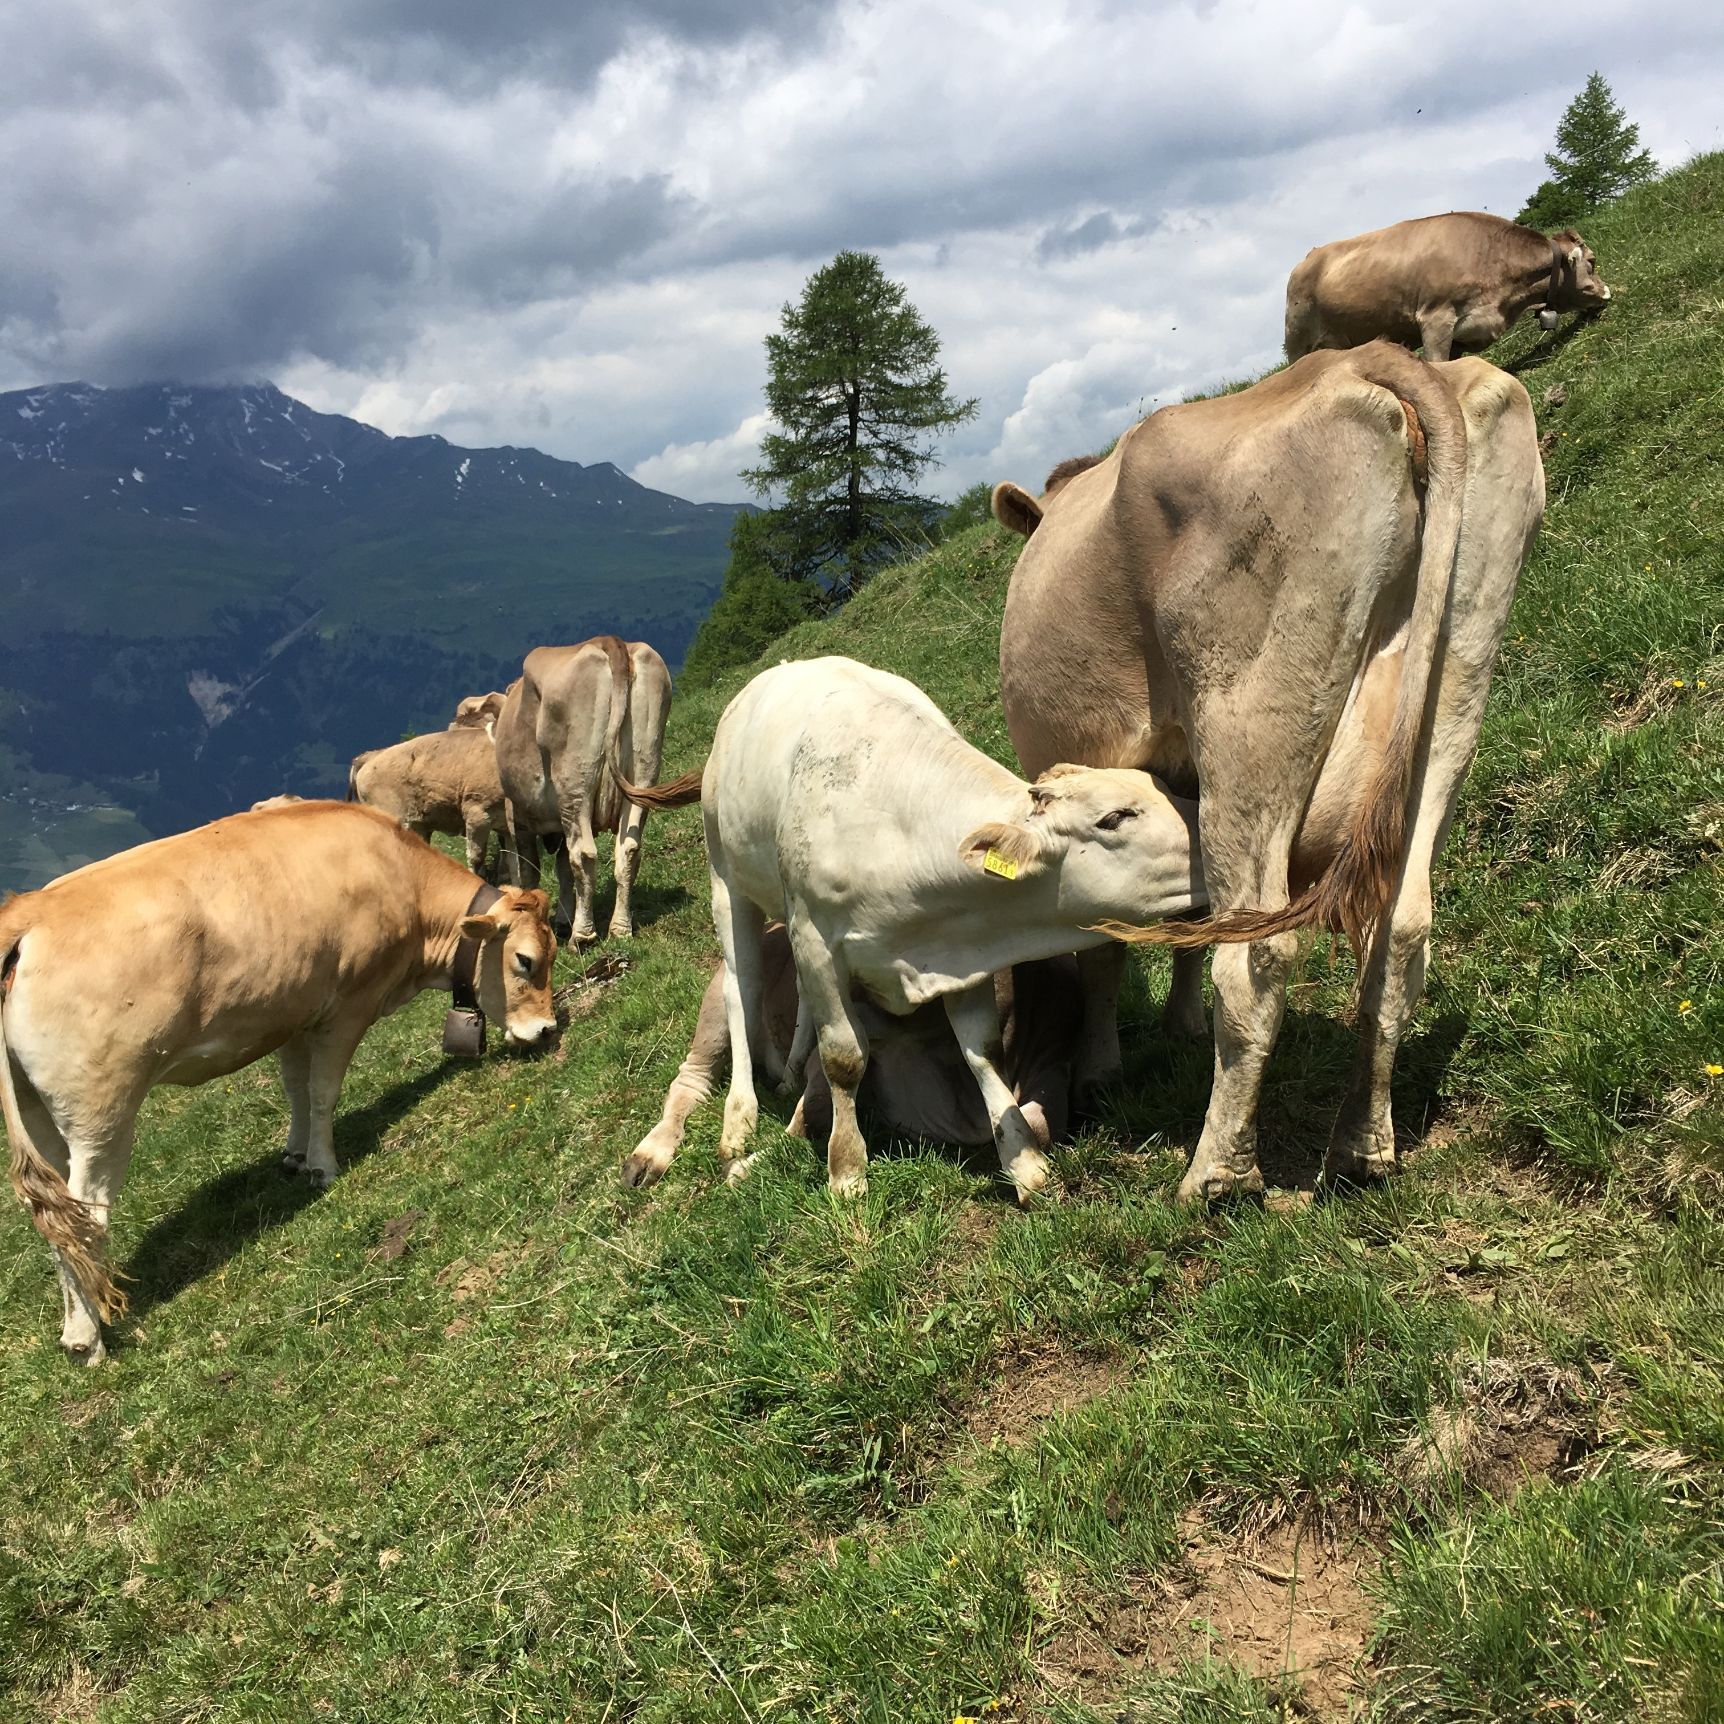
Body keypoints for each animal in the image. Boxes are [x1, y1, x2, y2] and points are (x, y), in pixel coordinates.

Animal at [0, 800, 557, 1364]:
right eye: (525, 960)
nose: (548, 1029)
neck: (403, 881)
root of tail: (30, 913)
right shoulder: (348, 1007)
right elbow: (323, 1091)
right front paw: (323, 1166)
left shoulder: (295, 1010)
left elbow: (295, 1087)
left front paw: (294, 1154)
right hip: (102, 1113)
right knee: (85, 1218)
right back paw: (89, 1339)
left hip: (40, 1113)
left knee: (54, 1216)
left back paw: (75, 1330)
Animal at [493, 636, 671, 944]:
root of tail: (609, 641)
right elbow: (562, 870)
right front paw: (562, 920)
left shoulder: (518, 820)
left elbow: (530, 870)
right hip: (644, 771)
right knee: (629, 849)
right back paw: (620, 929)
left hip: (575, 785)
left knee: (584, 855)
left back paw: (582, 936)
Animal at [622, 925, 1082, 1189]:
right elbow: (811, 1114)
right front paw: (745, 1168)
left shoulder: (1050, 1060)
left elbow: (1038, 1126)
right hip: (720, 1004)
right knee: (691, 1079)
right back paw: (647, 1158)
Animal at [991, 341, 1544, 1204]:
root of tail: (1364, 361)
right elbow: (1185, 909)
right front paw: (1175, 1027)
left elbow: (1110, 940)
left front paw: (1101, 1067)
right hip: (1455, 691)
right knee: (1402, 929)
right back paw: (1361, 1146)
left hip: (1250, 726)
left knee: (1258, 956)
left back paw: (1216, 1174)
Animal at [1283, 212, 1611, 363]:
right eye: (1592, 262)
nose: (1608, 292)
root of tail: (1306, 259)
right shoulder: (1435, 319)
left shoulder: (1464, 334)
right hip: (1298, 343)